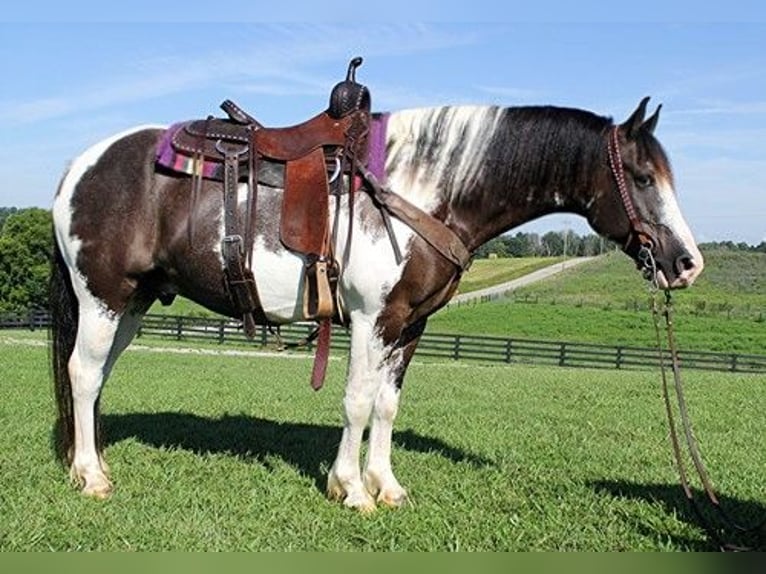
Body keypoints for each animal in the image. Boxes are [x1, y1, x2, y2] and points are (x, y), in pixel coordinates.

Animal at [51, 84, 704, 508]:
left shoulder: (410, 325)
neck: (424, 188)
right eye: (642, 177)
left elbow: (387, 405)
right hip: (103, 296)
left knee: (98, 376)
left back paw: (95, 462)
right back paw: (91, 477)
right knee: (82, 373)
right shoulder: (372, 319)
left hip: (131, 304)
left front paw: (384, 485)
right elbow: (358, 401)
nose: (687, 264)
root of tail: (79, 167)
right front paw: (349, 489)